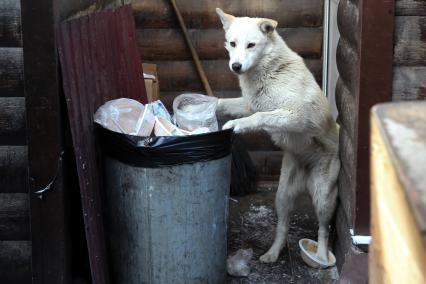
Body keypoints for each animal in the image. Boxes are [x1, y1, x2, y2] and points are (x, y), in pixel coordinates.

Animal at [216, 7, 340, 264]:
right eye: (233, 44)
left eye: (251, 45)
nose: (236, 66)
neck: (269, 71)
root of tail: (305, 172)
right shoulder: (250, 104)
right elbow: (225, 104)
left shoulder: (296, 115)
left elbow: (259, 117)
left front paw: (236, 125)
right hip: (282, 196)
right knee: (283, 227)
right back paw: (272, 254)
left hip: (322, 197)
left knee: (323, 229)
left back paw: (320, 257)